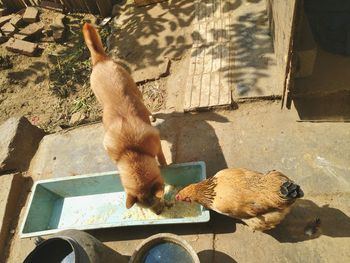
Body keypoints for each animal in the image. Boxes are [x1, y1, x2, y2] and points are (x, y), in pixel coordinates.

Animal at [82, 23, 167, 214]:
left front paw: (166, 165)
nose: (159, 213)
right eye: (149, 209)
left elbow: (162, 158)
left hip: (136, 91)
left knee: (145, 106)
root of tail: (100, 60)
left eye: (160, 200)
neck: (131, 151)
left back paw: (152, 115)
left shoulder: (157, 144)